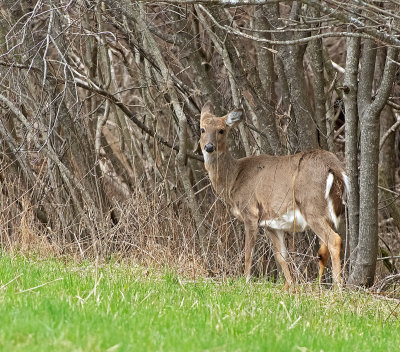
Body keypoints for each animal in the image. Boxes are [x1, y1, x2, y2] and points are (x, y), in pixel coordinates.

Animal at [198, 102, 348, 288]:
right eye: (202, 129)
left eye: (221, 130)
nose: (209, 147)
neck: (234, 179)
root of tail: (334, 167)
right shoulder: (271, 223)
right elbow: (281, 256)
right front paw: (291, 286)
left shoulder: (251, 212)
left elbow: (248, 252)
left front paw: (245, 281)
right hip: (332, 213)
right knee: (325, 248)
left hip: (312, 207)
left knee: (334, 240)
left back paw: (337, 288)